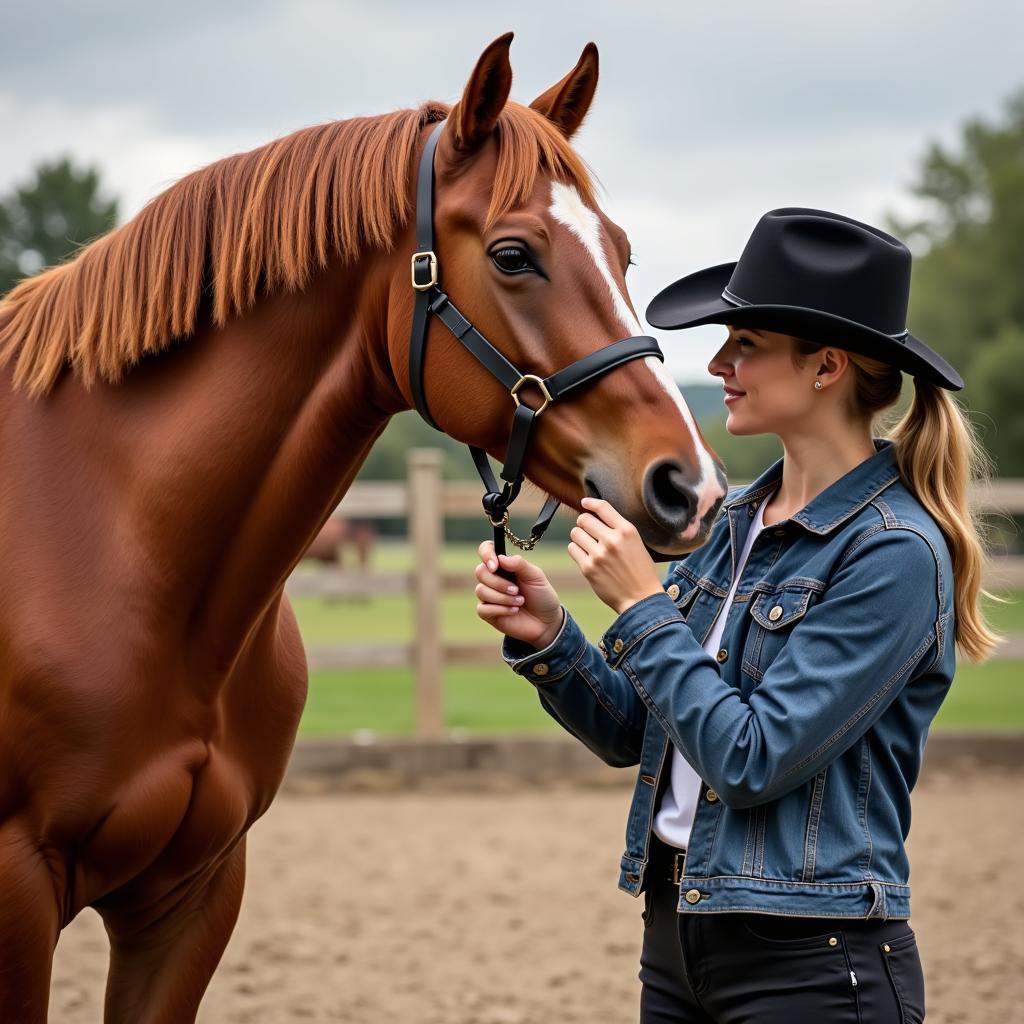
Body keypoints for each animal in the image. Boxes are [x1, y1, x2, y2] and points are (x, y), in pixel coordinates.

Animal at [0, 32, 729, 1024]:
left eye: (621, 251)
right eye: (513, 254)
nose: (690, 485)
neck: (113, 547)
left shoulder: (194, 893)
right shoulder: (19, 891)